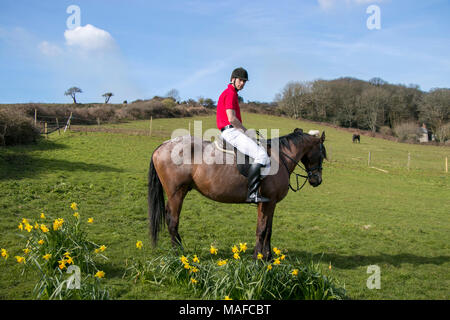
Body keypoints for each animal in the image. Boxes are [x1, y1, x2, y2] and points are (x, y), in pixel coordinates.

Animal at [148, 127, 326, 260]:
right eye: (322, 154)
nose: (317, 180)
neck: (280, 158)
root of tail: (163, 146)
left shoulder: (271, 203)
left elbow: (268, 230)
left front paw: (268, 258)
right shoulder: (266, 202)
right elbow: (261, 229)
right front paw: (258, 258)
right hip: (177, 193)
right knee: (173, 221)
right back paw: (179, 253)